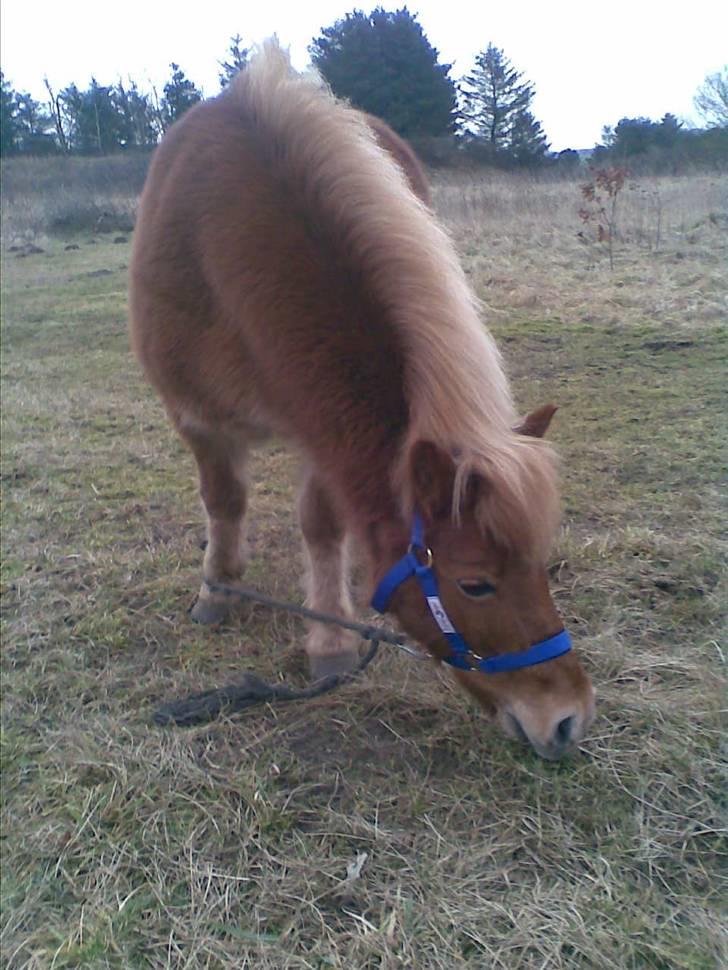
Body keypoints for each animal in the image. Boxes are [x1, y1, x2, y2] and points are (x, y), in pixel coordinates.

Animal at [131, 43, 596, 756]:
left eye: (540, 564)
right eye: (475, 583)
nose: (567, 719)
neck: (222, 247)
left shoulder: (325, 431)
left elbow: (323, 525)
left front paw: (329, 637)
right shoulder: (198, 419)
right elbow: (224, 500)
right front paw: (217, 589)